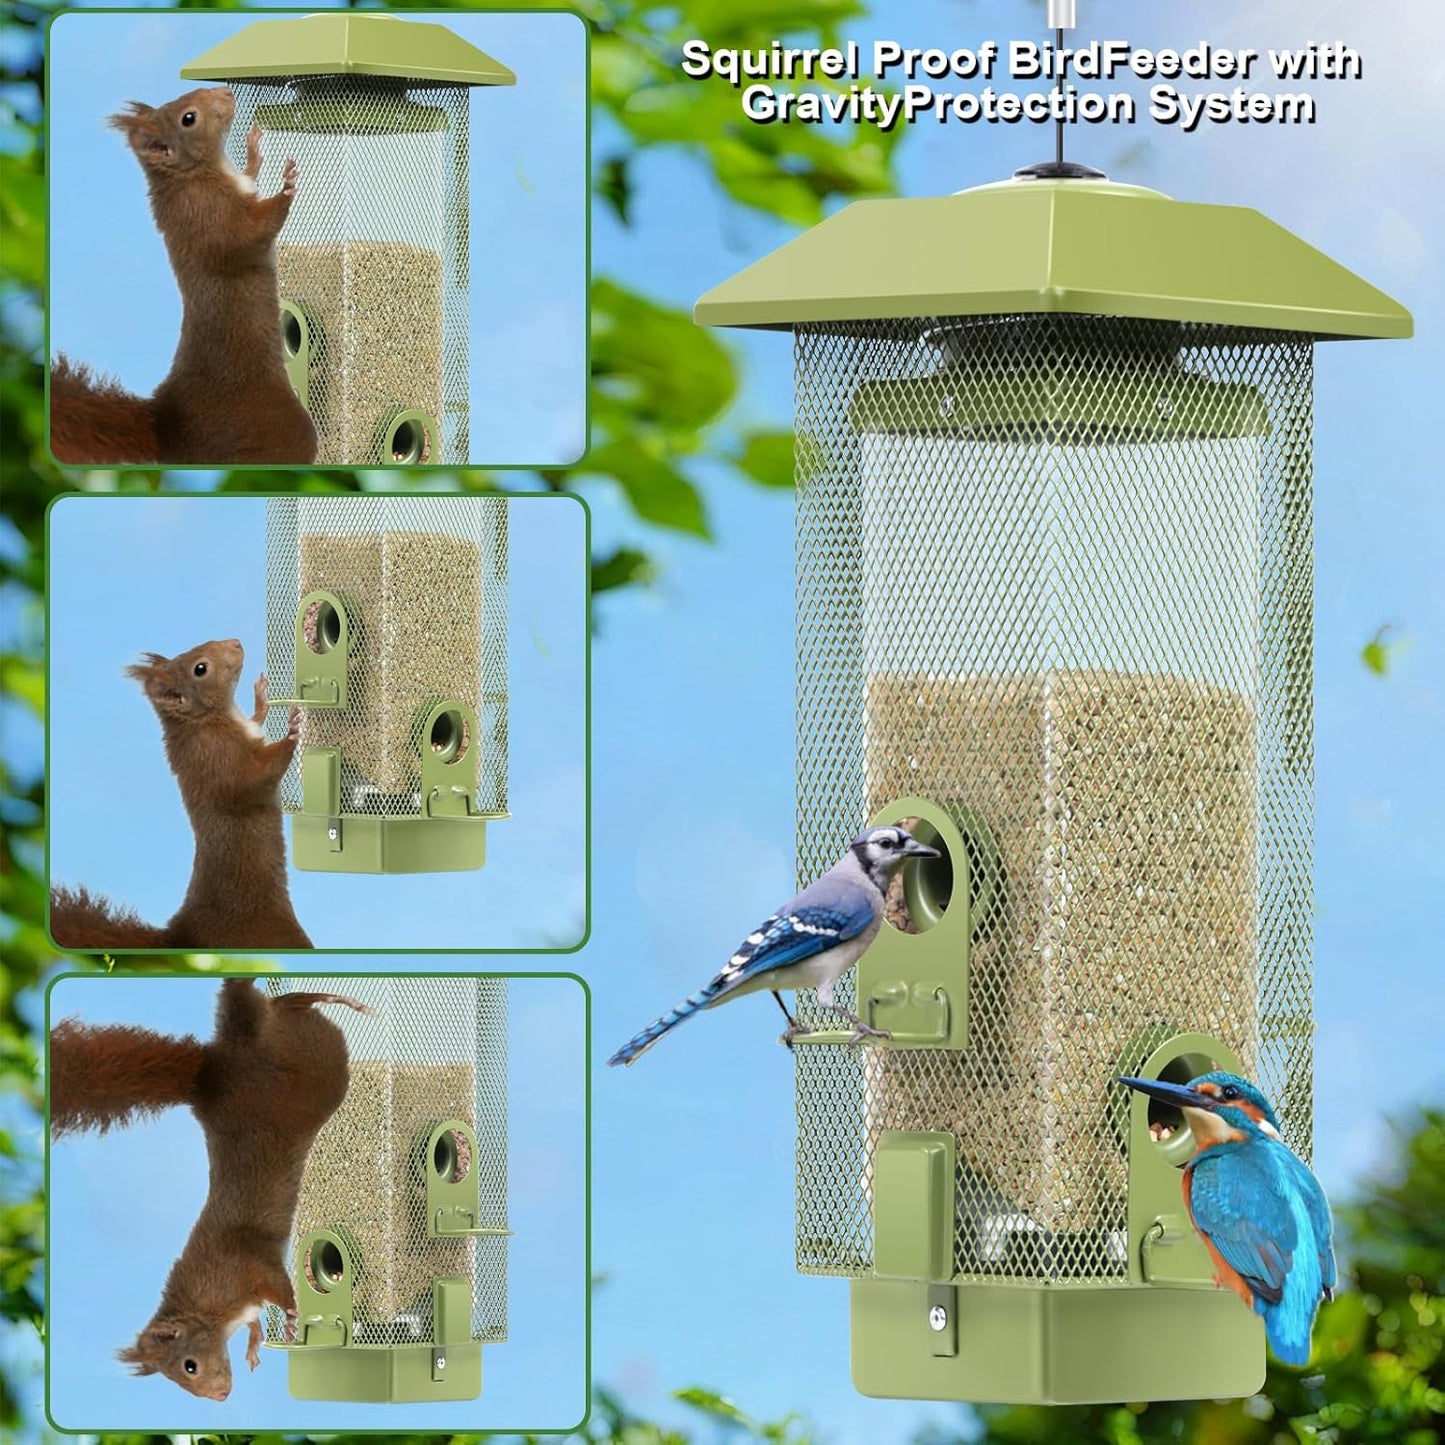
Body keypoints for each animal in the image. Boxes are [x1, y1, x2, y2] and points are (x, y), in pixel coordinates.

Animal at [49, 638, 314, 951]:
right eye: (200, 668)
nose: (236, 643)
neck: (207, 719)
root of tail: (181, 935)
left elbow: (256, 721)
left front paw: (261, 696)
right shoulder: (220, 759)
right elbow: (257, 776)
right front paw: (293, 732)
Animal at [50, 85, 317, 467]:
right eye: (188, 118)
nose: (227, 90)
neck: (193, 173)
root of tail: (166, 430)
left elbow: (249, 177)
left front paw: (253, 148)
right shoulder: (209, 217)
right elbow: (250, 235)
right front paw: (286, 187)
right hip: (281, 431)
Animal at [50, 979, 368, 1401]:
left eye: (190, 1366)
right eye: (180, 1378)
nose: (220, 1397)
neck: (212, 1310)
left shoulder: (248, 1266)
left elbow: (279, 1287)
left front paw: (289, 1318)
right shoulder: (246, 1302)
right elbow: (254, 1323)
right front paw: (254, 1346)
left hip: (314, 1075)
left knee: (286, 1007)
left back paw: (333, 999)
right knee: (283, 1006)